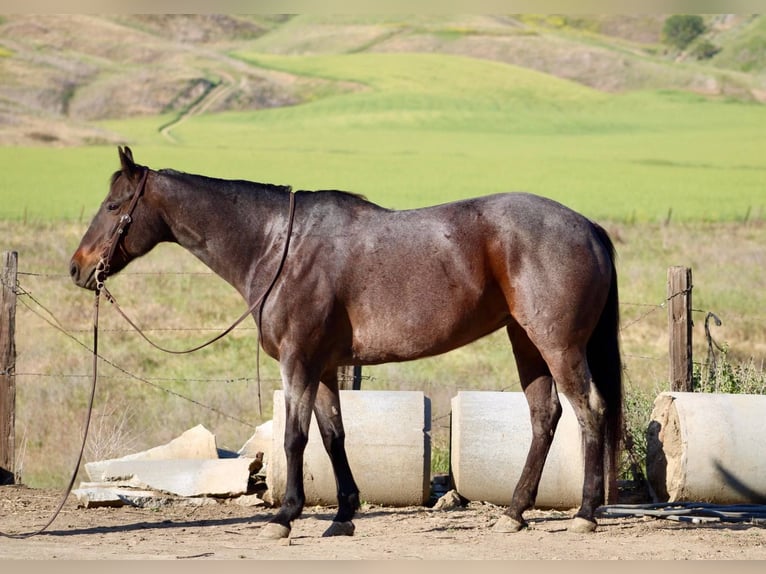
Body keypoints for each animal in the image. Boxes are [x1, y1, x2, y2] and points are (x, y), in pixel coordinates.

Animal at [70, 146, 622, 538]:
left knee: (588, 410)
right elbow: (334, 434)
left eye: (114, 205)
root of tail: (588, 226)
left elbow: (295, 437)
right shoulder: (324, 366)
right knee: (545, 416)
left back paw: (585, 513)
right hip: (526, 342)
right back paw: (515, 511)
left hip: (557, 345)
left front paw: (285, 517)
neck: (279, 246)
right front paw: (343, 514)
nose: (77, 268)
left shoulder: (298, 362)